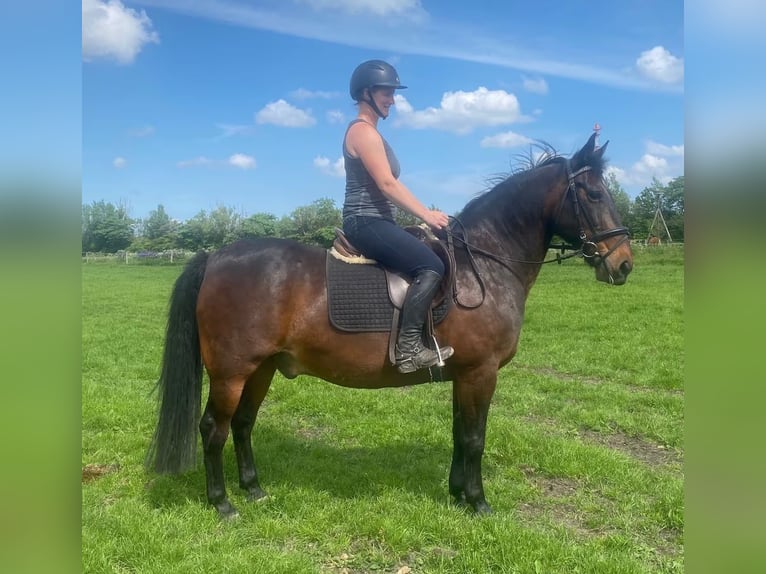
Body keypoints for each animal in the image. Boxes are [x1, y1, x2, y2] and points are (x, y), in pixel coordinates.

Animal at [147, 133, 632, 520]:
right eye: (592, 194)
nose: (623, 264)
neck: (483, 265)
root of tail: (216, 256)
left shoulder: (463, 374)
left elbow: (460, 433)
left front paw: (456, 492)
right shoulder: (481, 372)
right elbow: (475, 437)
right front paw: (478, 502)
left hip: (262, 367)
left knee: (244, 424)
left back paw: (254, 489)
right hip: (231, 372)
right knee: (214, 428)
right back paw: (222, 502)